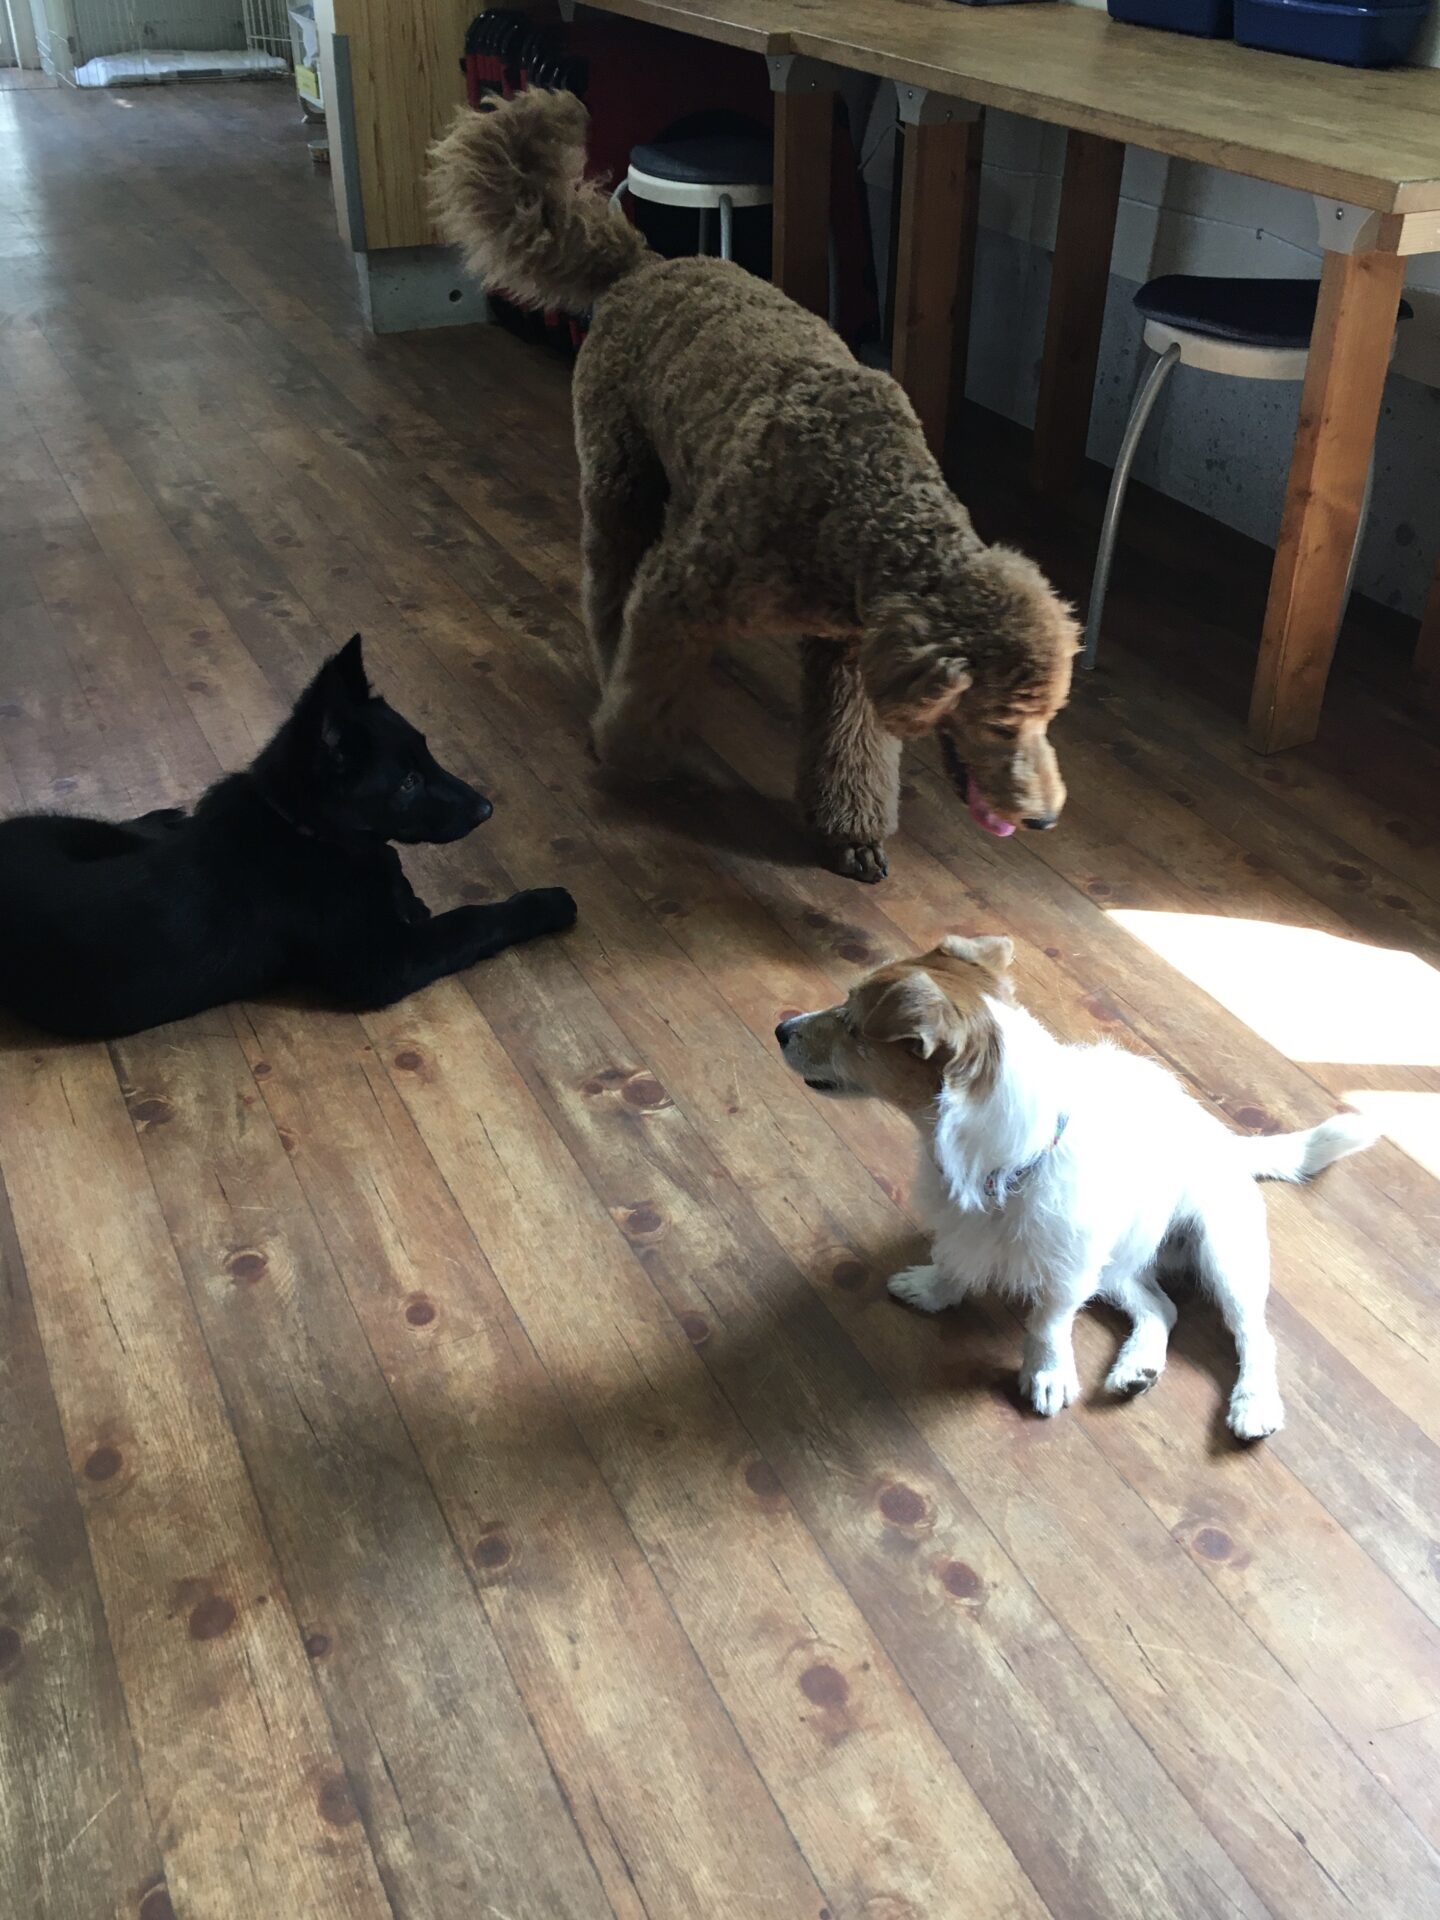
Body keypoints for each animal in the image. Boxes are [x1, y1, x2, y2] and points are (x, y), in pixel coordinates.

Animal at [0, 636, 577, 1040]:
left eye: (428, 753)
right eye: (408, 782)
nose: (487, 809)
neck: (304, 830)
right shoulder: (381, 964)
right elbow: (473, 920)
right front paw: (547, 904)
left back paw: (165, 817)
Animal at [430, 91, 1079, 883]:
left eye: (1049, 717)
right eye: (1002, 720)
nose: (1046, 819)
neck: (864, 512)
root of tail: (644, 264)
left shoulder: (848, 651)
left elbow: (850, 747)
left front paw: (851, 832)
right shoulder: (680, 594)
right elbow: (648, 689)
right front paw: (627, 757)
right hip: (620, 482)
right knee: (610, 588)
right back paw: (608, 656)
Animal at [776, 935, 1377, 1438]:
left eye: (853, 1026)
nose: (780, 1028)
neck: (1008, 1155)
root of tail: (1227, 1142)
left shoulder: (1069, 1265)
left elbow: (1048, 1323)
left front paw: (1046, 1375)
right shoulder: (965, 1225)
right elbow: (952, 1264)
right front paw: (931, 1290)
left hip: (1224, 1254)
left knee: (1255, 1336)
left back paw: (1254, 1404)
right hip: (1119, 1263)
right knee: (1161, 1307)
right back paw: (1137, 1366)